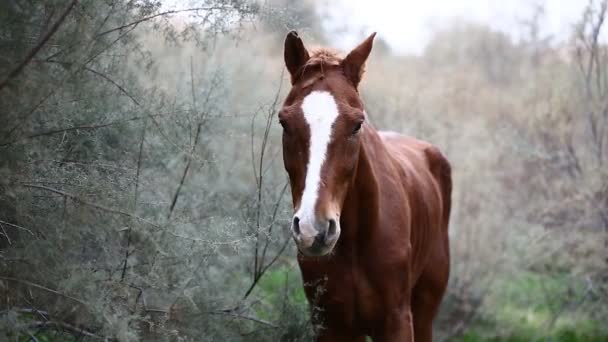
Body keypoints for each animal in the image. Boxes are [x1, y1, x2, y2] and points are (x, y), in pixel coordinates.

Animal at [280, 30, 452, 340]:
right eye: (284, 122)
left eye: (357, 124)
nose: (314, 230)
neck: (355, 243)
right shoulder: (330, 325)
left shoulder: (398, 321)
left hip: (425, 312)